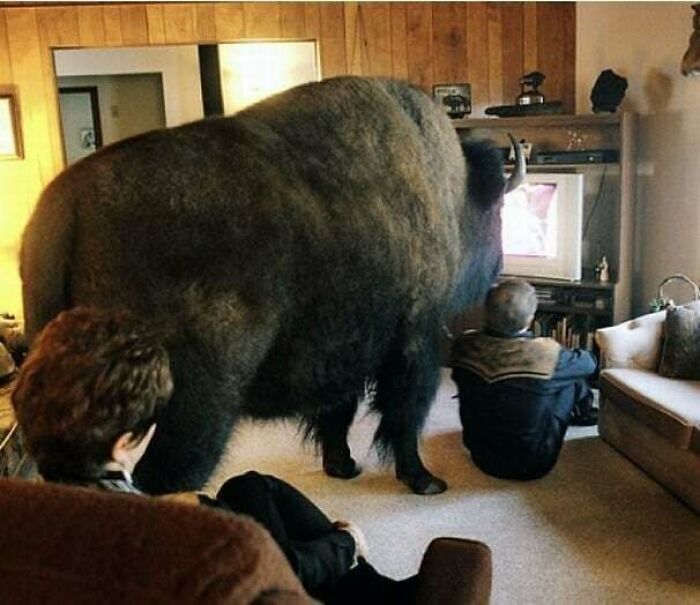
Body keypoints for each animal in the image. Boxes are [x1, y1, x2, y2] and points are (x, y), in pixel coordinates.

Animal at [21, 76, 522, 494]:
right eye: (497, 210)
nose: (499, 264)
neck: (451, 191)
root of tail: (67, 206)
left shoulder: (344, 354)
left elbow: (337, 413)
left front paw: (342, 466)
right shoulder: (415, 337)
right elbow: (404, 412)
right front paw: (424, 480)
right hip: (191, 408)